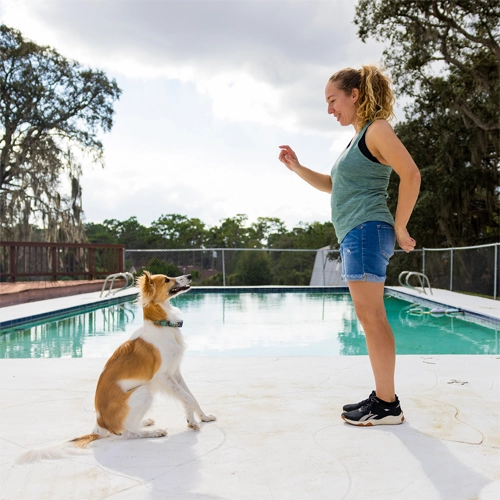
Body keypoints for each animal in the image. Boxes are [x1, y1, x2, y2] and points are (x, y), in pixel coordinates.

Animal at [15, 272, 215, 462]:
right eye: (167, 280)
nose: (189, 275)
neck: (162, 325)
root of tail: (100, 425)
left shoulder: (175, 372)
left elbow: (192, 397)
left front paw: (204, 417)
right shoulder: (163, 376)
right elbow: (187, 398)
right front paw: (191, 422)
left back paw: (144, 422)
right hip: (143, 391)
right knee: (126, 433)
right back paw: (152, 432)